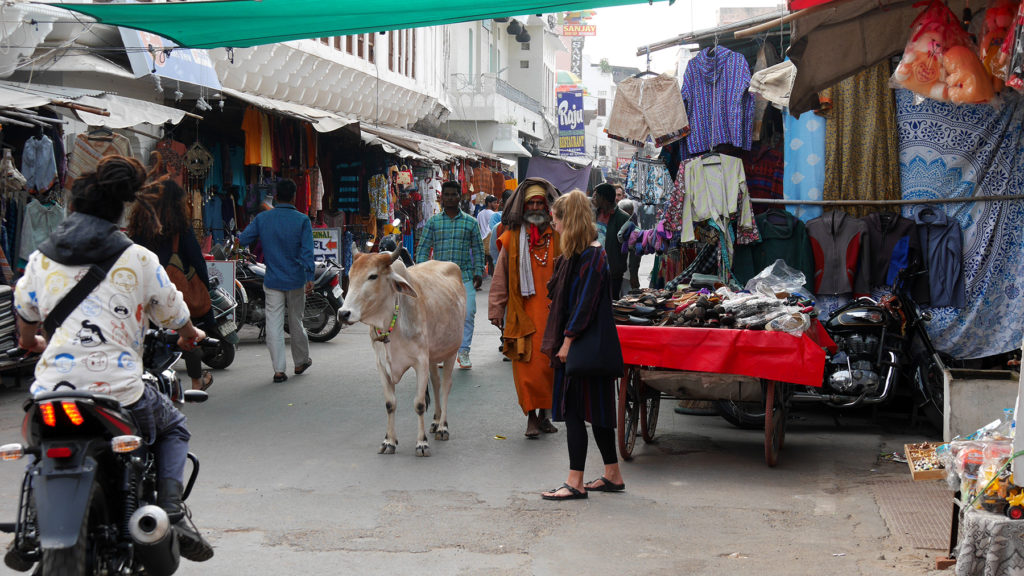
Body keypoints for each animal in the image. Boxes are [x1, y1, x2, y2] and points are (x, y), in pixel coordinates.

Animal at [337, 249, 466, 455]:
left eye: (373, 276)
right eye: (350, 276)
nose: (343, 313)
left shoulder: (420, 362)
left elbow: (419, 404)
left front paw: (421, 443)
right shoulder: (382, 365)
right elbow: (390, 404)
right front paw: (389, 441)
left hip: (451, 351)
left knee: (446, 385)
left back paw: (443, 427)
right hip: (433, 356)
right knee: (436, 384)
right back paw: (435, 421)